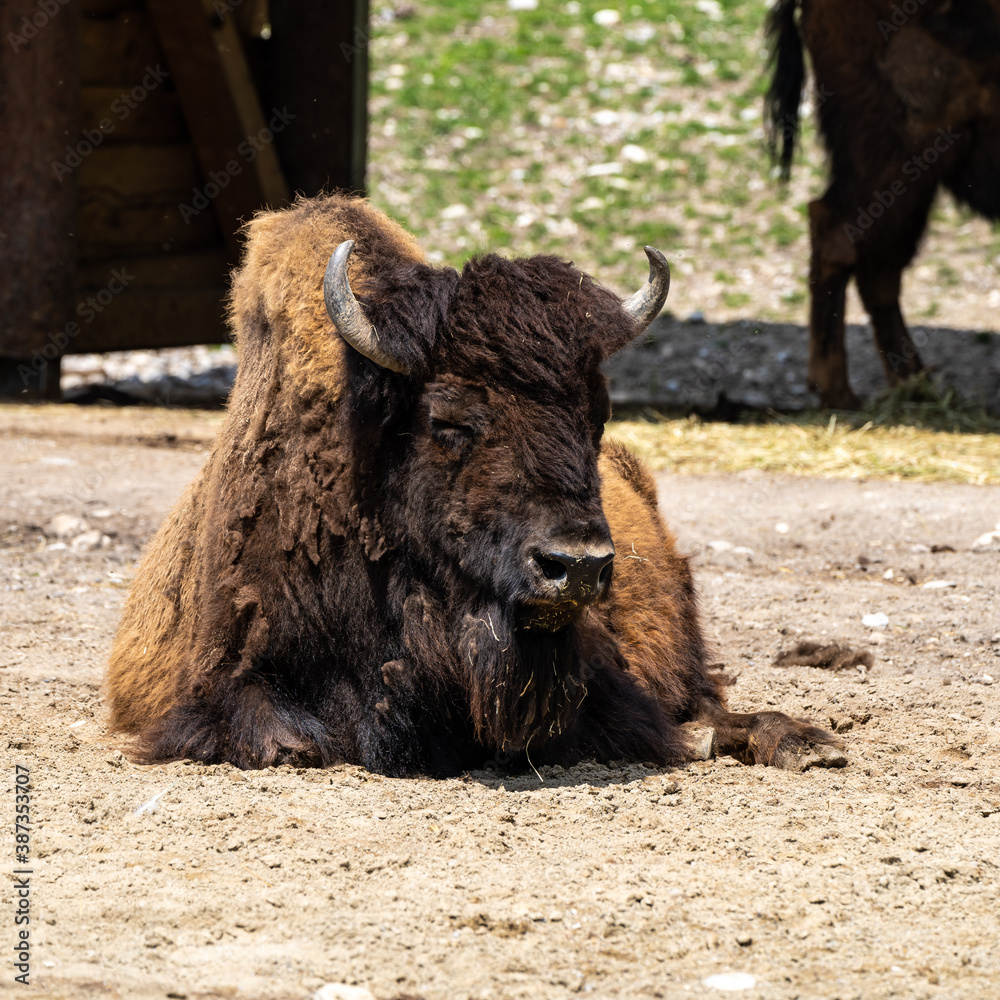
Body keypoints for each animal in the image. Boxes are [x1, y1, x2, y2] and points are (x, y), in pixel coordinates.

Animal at [106, 194, 844, 776]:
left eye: (596, 412)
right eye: (448, 418)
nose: (576, 566)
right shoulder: (220, 678)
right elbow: (280, 737)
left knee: (713, 702)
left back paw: (801, 744)